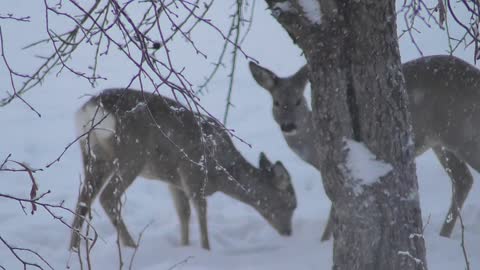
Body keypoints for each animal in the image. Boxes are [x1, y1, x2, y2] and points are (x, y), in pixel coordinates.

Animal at [69, 87, 296, 250]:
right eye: (291, 204)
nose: (288, 233)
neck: (222, 173)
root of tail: (90, 109)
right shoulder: (192, 171)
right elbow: (200, 211)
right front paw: (206, 249)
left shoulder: (174, 180)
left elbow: (183, 213)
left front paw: (184, 246)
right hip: (132, 155)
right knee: (107, 197)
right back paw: (131, 246)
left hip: (93, 154)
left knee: (83, 199)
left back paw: (73, 249)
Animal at [249, 54, 478, 240]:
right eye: (276, 103)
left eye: (298, 101)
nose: (288, 125)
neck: (314, 147)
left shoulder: (341, 168)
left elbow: (336, 212)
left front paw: (323, 243)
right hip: (441, 142)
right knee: (463, 179)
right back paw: (443, 235)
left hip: (462, 131)